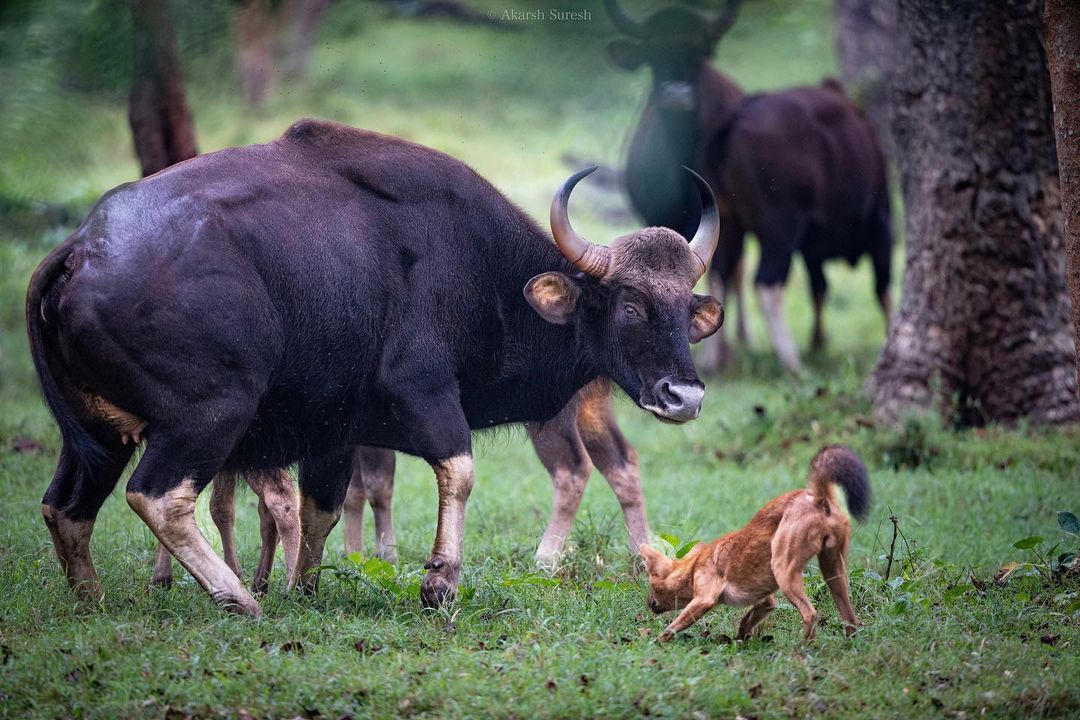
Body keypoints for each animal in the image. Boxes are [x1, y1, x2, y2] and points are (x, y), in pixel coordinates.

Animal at [27, 118, 725, 613]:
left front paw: (303, 588)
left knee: (66, 506)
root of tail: (82, 249)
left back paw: (90, 599)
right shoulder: (425, 393)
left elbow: (322, 506)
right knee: (158, 495)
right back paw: (236, 597)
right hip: (208, 414)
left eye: (685, 306)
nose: (685, 396)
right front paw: (439, 582)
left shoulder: (332, 430)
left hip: (94, 435)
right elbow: (458, 471)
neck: (479, 270)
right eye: (630, 304)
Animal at [609, 0, 894, 371]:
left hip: (729, 223)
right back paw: (791, 363)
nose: (675, 94)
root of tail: (730, 122)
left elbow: (818, 287)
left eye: (699, 51)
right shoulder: (880, 224)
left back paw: (721, 355)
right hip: (779, 225)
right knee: (766, 283)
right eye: (652, 52)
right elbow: (883, 290)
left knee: (723, 274)